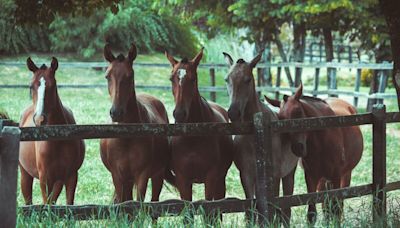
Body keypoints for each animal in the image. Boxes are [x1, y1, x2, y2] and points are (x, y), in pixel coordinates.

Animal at [19, 57, 85, 205]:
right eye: (31, 86)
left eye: (53, 86)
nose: (39, 119)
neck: (57, 138)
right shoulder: (45, 178)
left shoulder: (71, 176)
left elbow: (69, 205)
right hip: (25, 175)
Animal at [100, 43, 172, 202]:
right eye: (107, 76)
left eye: (130, 75)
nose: (116, 112)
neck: (127, 137)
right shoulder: (118, 177)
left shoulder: (142, 176)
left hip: (157, 175)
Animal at [165, 48, 234, 201]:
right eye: (171, 79)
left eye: (193, 79)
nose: (179, 114)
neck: (192, 136)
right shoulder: (183, 180)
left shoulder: (211, 177)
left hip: (220, 180)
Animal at [223, 50, 298, 224]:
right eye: (227, 79)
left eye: (248, 79)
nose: (233, 113)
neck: (255, 136)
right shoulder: (246, 175)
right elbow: (251, 211)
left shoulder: (274, 176)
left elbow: (273, 212)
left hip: (289, 174)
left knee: (286, 209)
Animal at [264, 83, 364, 223]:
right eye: (281, 119)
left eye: (298, 112)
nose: (297, 148)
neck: (322, 141)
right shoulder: (311, 177)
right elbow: (312, 213)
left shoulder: (336, 176)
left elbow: (335, 208)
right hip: (323, 179)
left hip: (345, 174)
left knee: (338, 205)